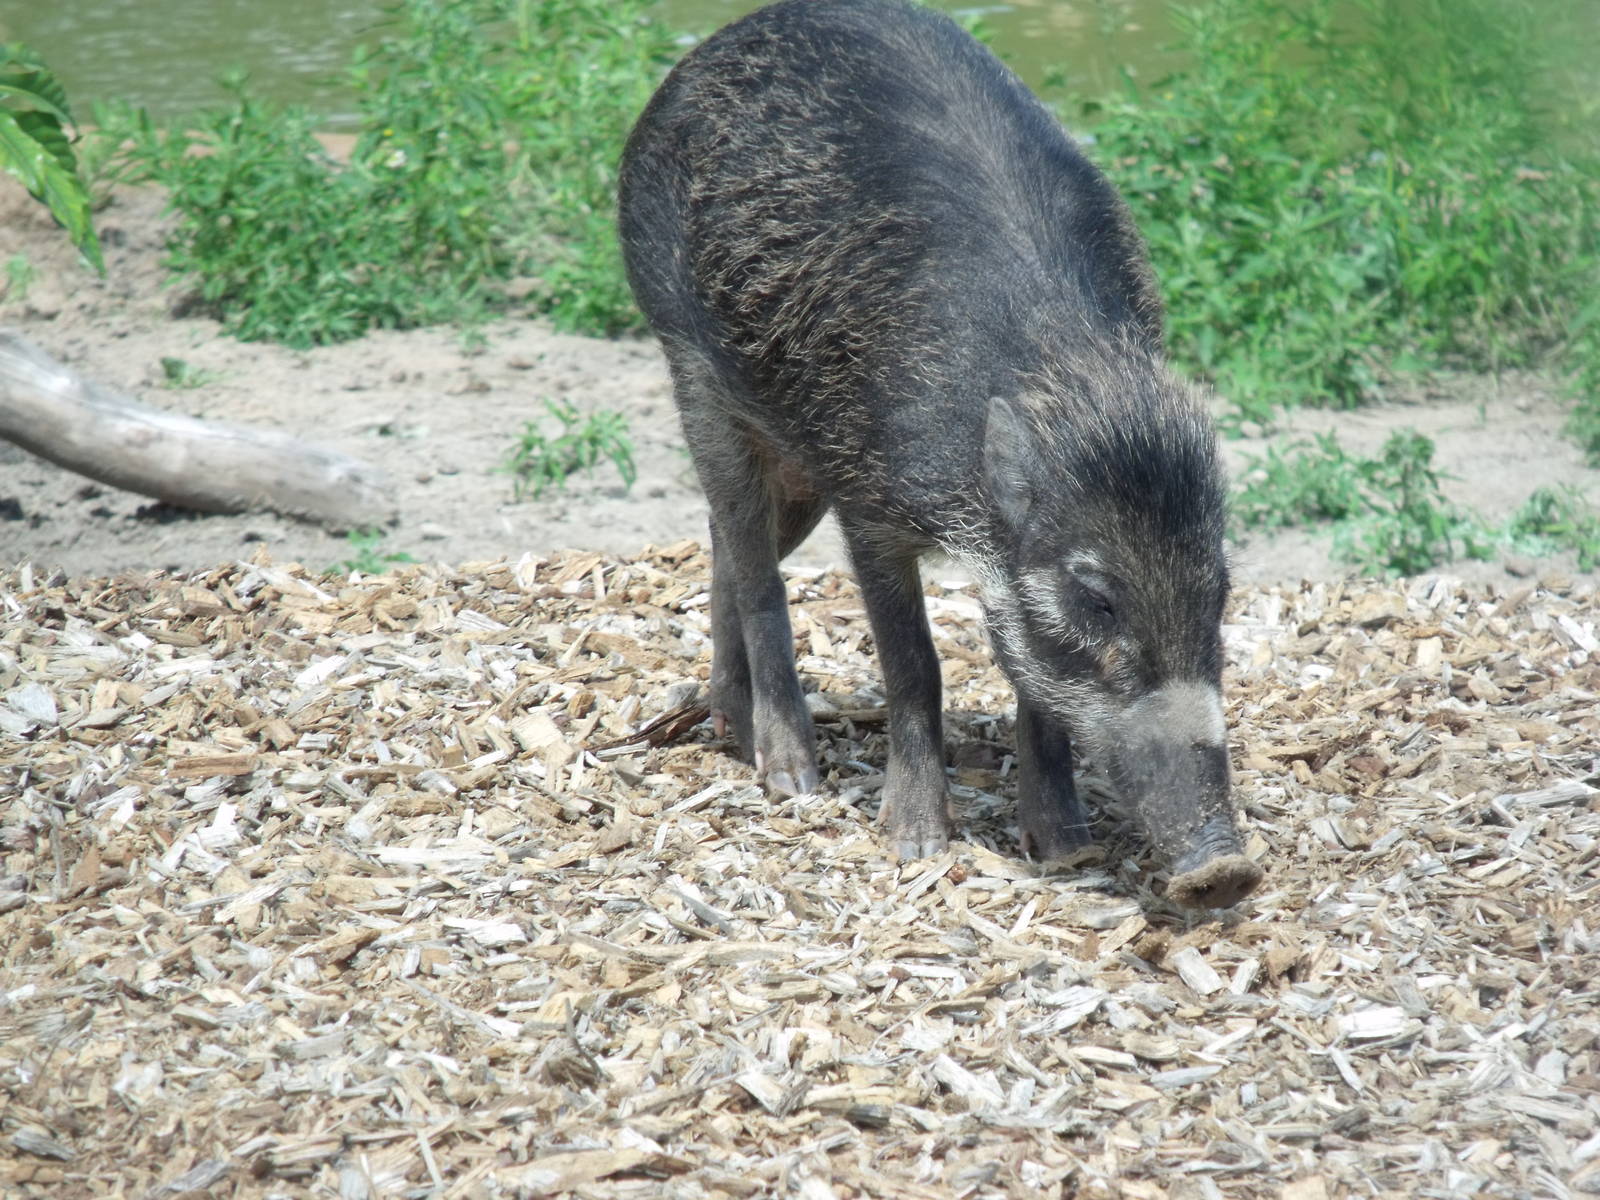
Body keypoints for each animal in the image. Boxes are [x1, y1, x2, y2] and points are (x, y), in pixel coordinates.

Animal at [618, 0, 1262, 907]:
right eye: (1097, 598)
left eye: (1222, 590)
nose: (1227, 870)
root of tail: (701, 54)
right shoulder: (870, 508)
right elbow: (915, 663)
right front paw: (917, 846)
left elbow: (1031, 680)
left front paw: (1061, 848)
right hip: (693, 369)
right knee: (749, 560)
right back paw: (786, 776)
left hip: (796, 462)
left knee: (720, 544)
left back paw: (726, 730)